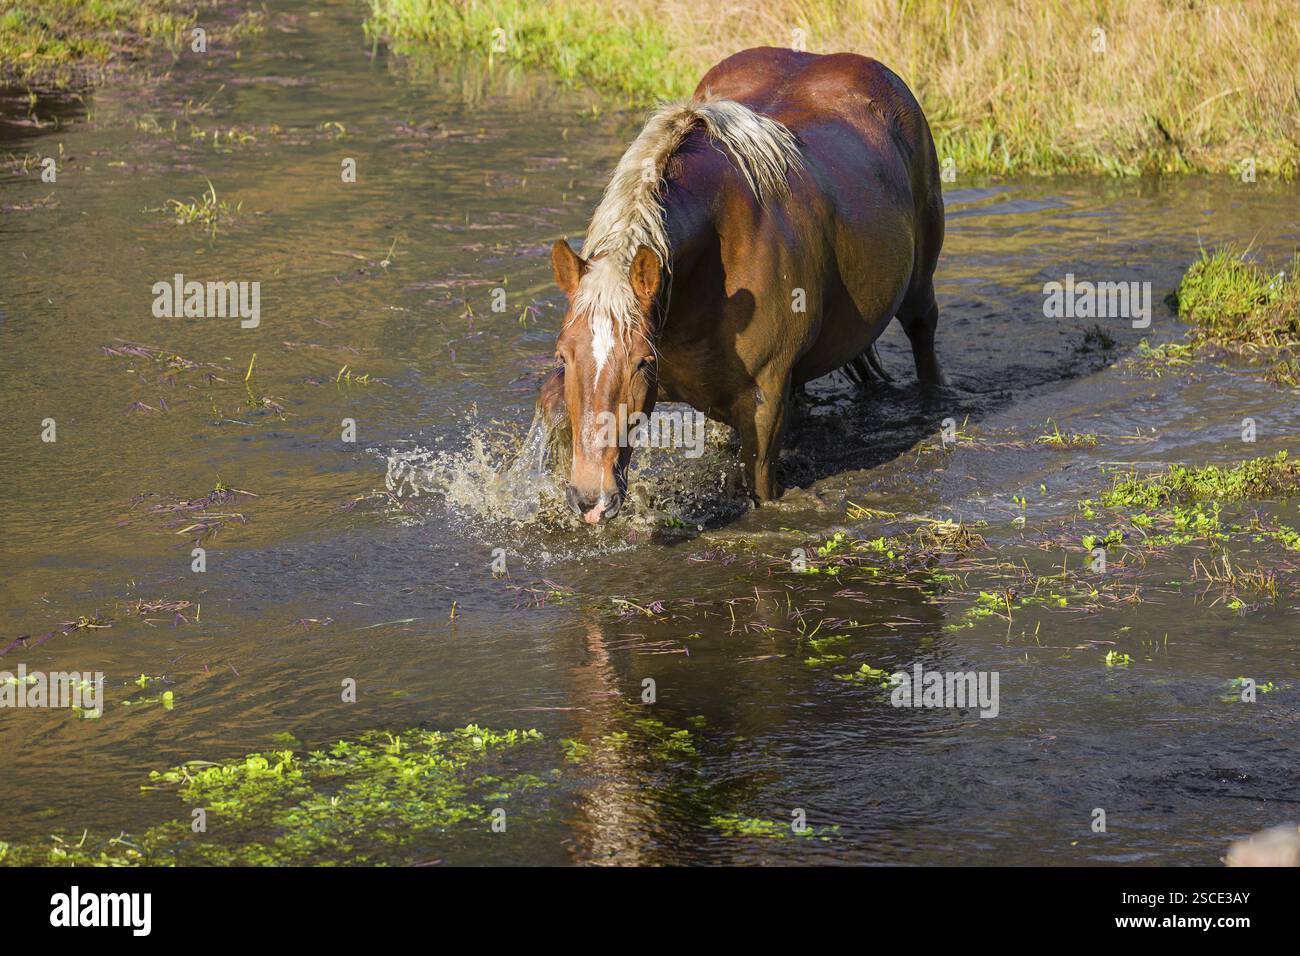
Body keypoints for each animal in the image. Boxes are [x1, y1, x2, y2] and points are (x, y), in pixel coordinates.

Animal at [538, 47, 946, 524]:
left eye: (641, 362)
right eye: (563, 354)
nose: (591, 500)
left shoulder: (764, 399)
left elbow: (761, 484)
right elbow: (554, 407)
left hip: (917, 289)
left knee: (923, 331)